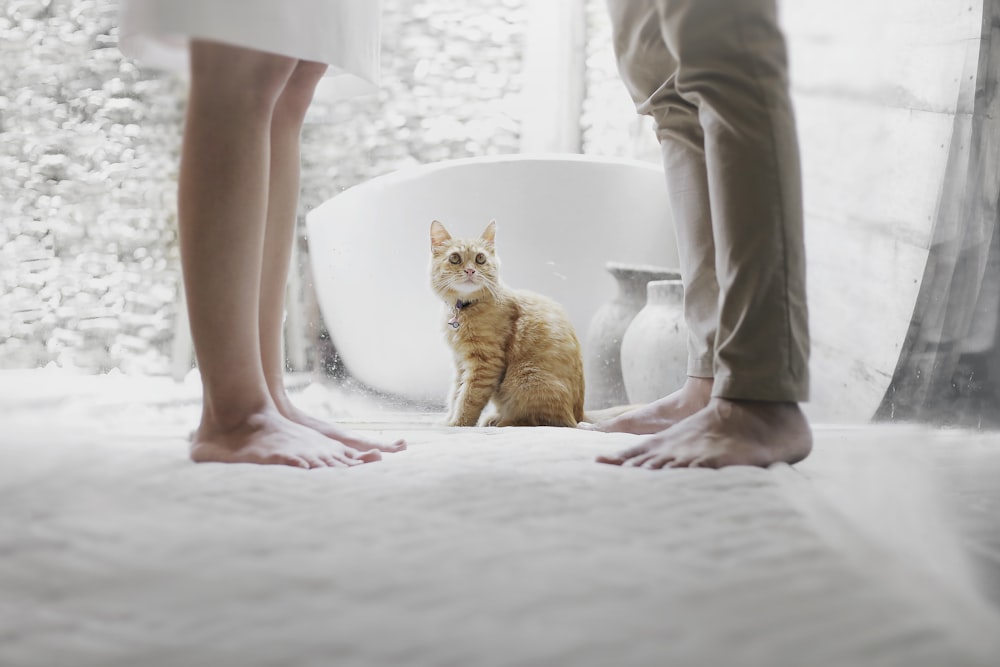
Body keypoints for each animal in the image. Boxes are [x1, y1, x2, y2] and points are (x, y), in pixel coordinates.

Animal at [430, 219, 584, 428]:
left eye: (480, 258)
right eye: (455, 258)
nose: (470, 270)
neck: (464, 309)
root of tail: (580, 416)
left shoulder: (485, 363)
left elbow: (467, 398)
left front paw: (457, 423)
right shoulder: (460, 362)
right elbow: (456, 394)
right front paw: (448, 419)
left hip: (526, 378)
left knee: (533, 420)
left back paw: (499, 421)